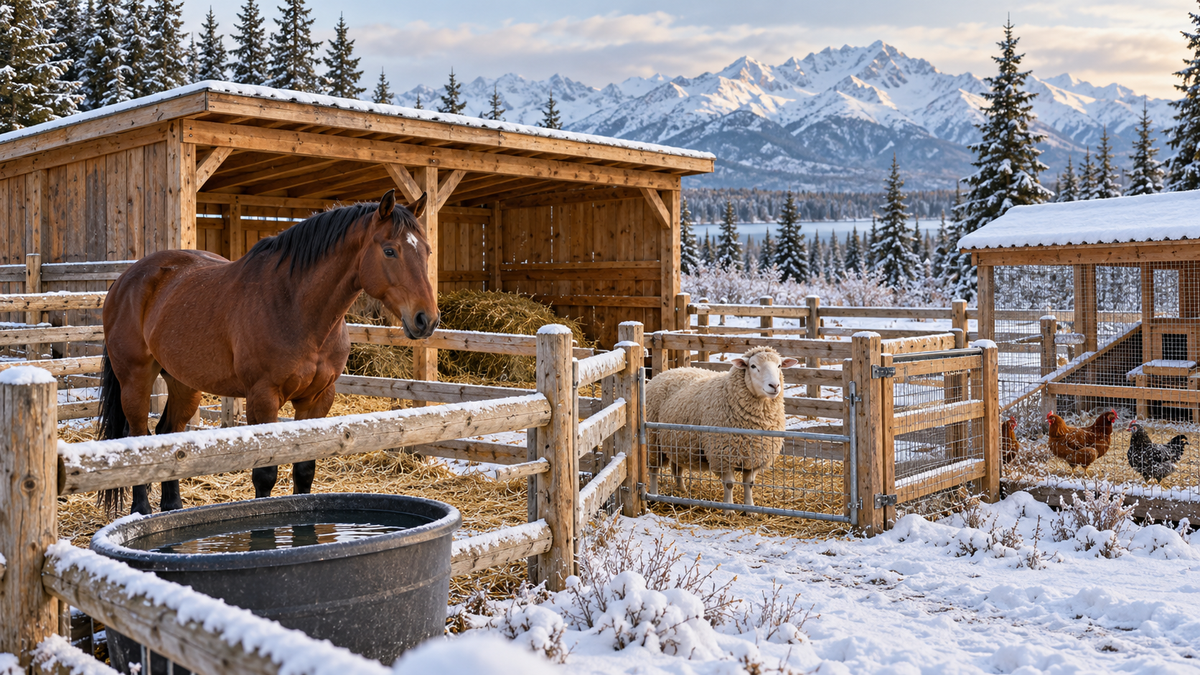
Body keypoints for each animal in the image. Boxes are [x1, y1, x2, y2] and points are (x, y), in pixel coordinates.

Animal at [96, 189, 438, 516]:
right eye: (390, 250)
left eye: (427, 251)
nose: (427, 319)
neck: (294, 305)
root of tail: (125, 281)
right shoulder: (263, 398)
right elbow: (265, 475)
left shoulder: (318, 399)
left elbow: (304, 470)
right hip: (136, 379)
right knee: (138, 437)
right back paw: (140, 511)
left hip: (184, 383)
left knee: (169, 437)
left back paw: (172, 508)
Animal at [644, 346, 798, 506]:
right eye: (753, 366)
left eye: (779, 366)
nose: (774, 386)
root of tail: (667, 371)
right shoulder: (723, 455)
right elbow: (729, 484)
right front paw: (728, 508)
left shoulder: (754, 456)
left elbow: (749, 484)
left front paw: (750, 507)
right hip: (653, 442)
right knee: (653, 470)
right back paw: (654, 495)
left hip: (678, 441)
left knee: (677, 467)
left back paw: (682, 491)